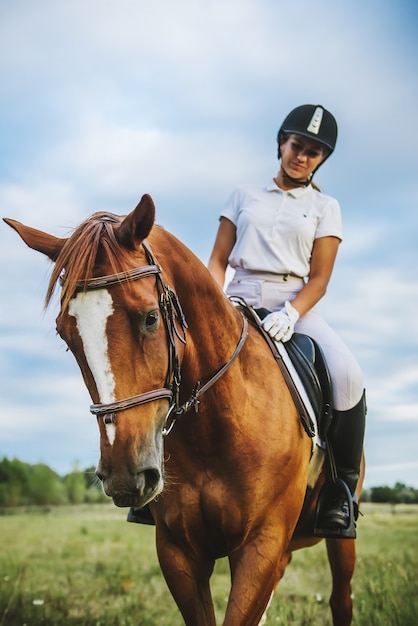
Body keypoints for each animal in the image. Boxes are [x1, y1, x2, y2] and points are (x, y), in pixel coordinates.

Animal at [2, 193, 362, 620]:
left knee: (341, 597)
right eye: (65, 334)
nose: (124, 474)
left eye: (150, 318)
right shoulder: (178, 552)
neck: (216, 428)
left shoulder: (261, 544)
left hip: (337, 540)